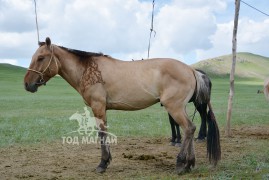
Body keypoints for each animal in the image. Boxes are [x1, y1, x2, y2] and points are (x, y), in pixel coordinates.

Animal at [23, 37, 220, 174]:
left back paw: (181, 164)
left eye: (41, 57)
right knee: (190, 129)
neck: (88, 70)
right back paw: (189, 164)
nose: (27, 84)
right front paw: (107, 161)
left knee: (188, 128)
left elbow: (102, 134)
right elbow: (105, 134)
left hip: (174, 108)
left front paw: (102, 164)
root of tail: (191, 69)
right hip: (180, 108)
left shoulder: (98, 107)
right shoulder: (102, 110)